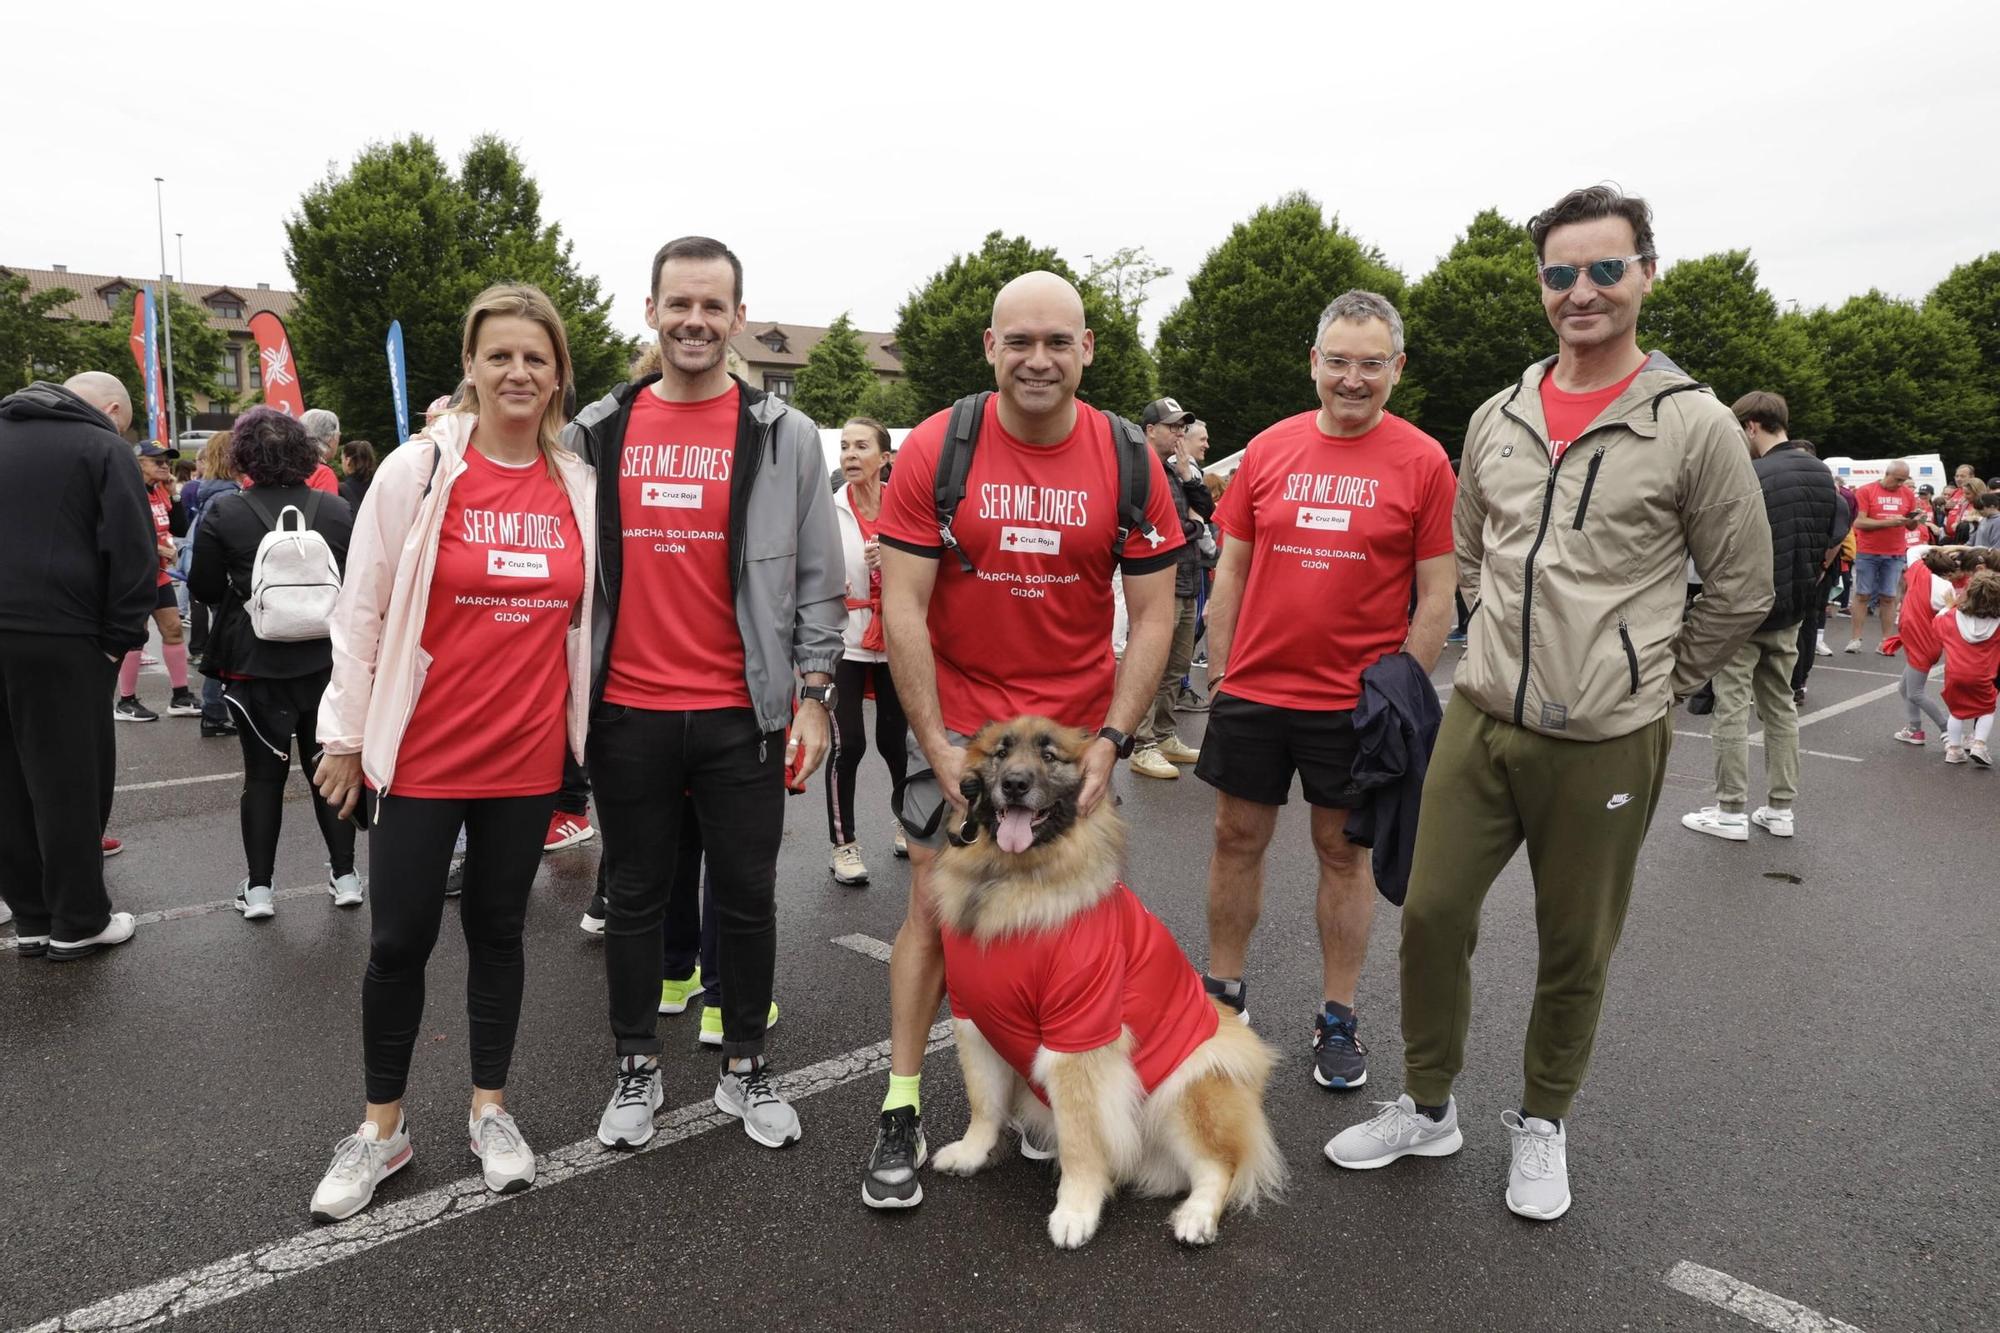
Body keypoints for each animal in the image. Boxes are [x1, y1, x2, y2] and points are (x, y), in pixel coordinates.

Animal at [932, 712, 1288, 1240]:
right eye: (1001, 754)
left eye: (1049, 756)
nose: (1015, 785)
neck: (1011, 881)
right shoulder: (972, 1020)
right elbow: (984, 1104)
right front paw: (972, 1153)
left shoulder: (1078, 1038)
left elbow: (1081, 1140)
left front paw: (1076, 1211)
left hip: (1190, 1083)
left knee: (1219, 1165)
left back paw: (1196, 1217)